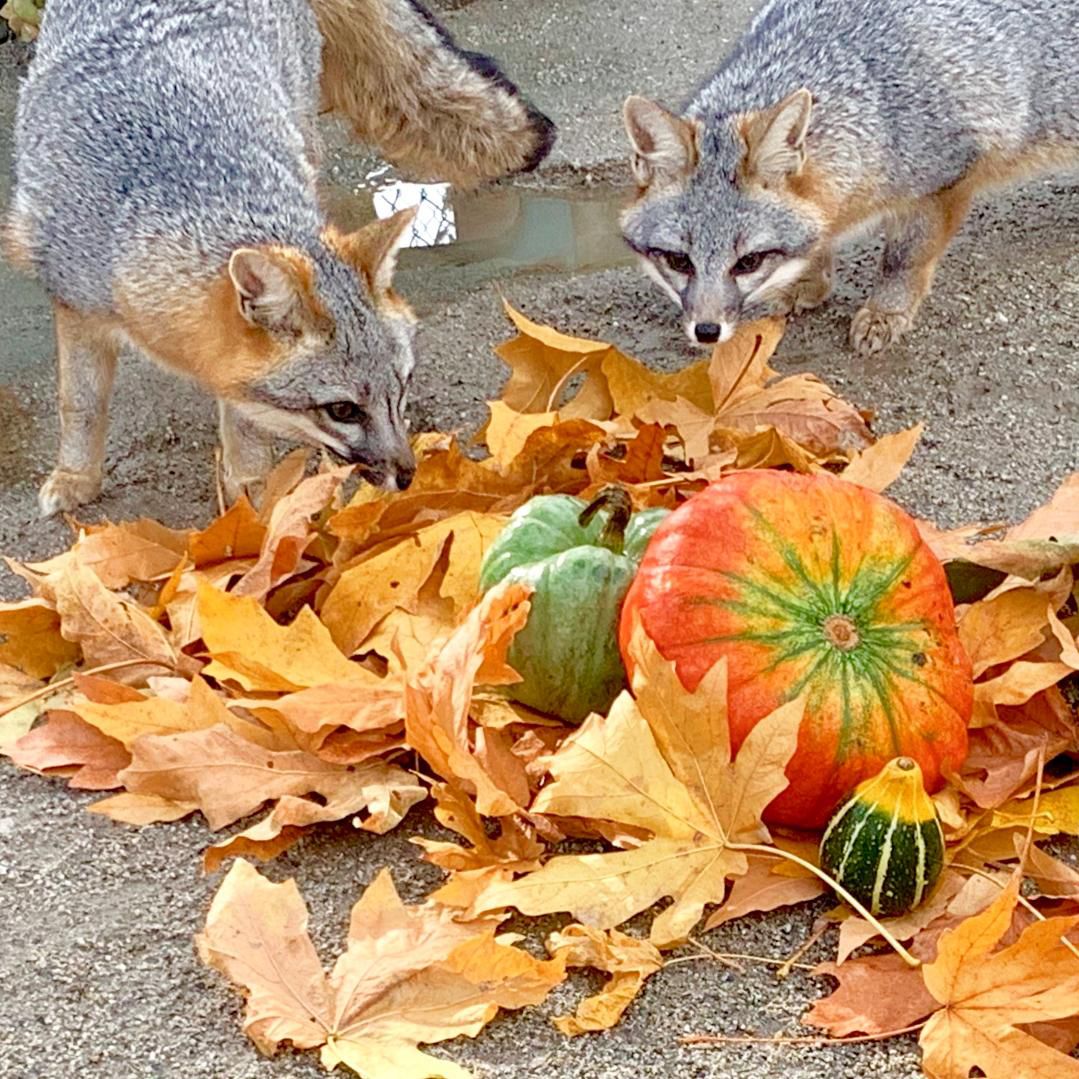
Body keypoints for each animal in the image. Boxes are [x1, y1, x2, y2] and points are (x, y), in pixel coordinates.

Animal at [4, 0, 552, 513]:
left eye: (403, 384)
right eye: (342, 410)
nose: (407, 475)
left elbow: (244, 421)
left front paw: (251, 496)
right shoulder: (75, 301)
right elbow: (80, 404)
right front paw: (75, 477)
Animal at [621, 0, 1079, 353]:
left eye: (748, 262)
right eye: (679, 260)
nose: (707, 331)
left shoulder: (943, 182)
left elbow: (903, 258)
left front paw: (885, 313)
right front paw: (807, 279)